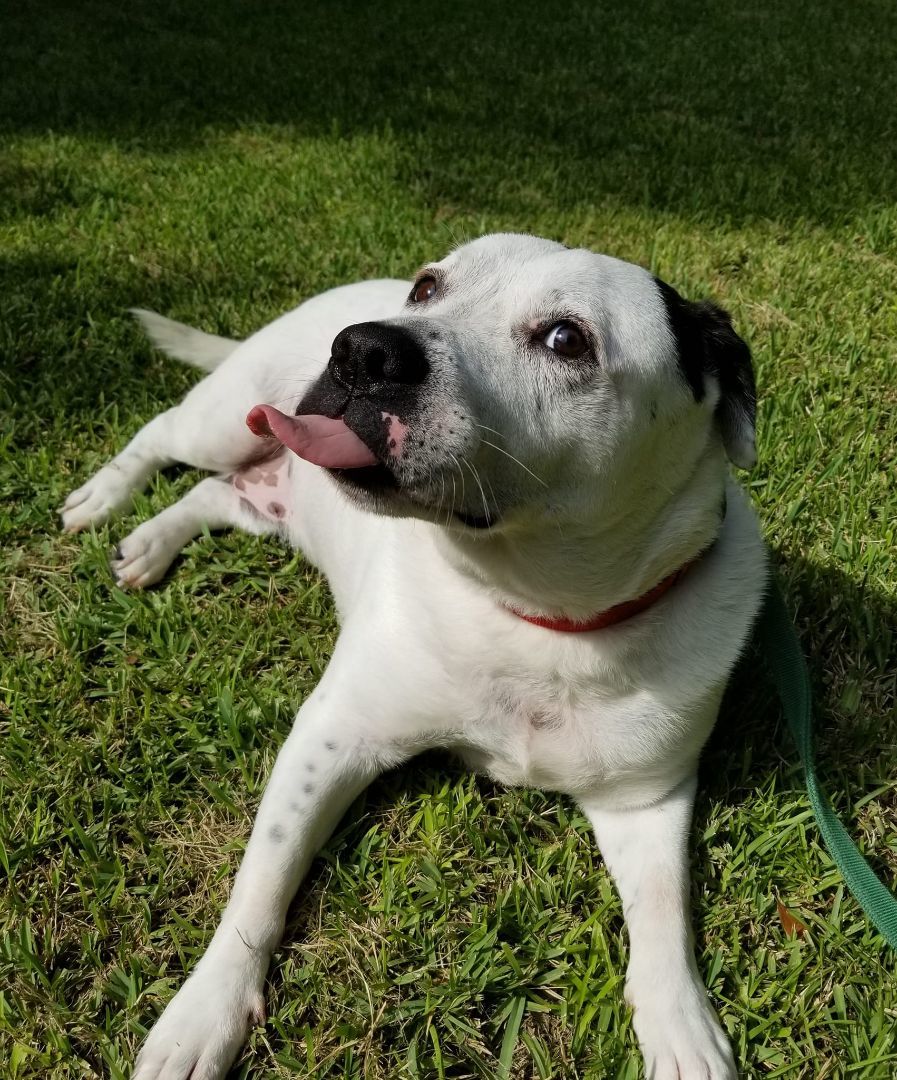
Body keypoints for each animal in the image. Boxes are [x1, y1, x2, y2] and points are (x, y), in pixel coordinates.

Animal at [61, 232, 764, 1075]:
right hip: (226, 418)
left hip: (267, 498)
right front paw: (206, 1010)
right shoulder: (331, 739)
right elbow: (261, 884)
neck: (535, 616)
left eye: (567, 339)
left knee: (212, 495)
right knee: (160, 436)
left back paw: (151, 544)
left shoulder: (646, 802)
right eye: (429, 287)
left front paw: (679, 1024)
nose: (366, 349)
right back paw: (104, 498)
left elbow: (663, 916)